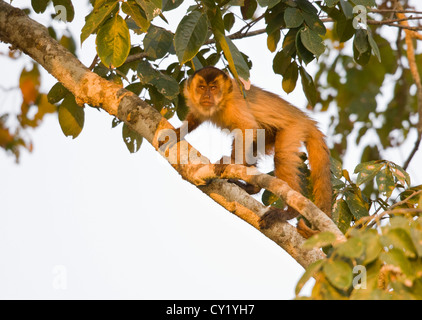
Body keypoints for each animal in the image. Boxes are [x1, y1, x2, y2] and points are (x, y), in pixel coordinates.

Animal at [176, 66, 332, 229]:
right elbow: (196, 117)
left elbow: (247, 127)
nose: (207, 95)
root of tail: (305, 118)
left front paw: (230, 161)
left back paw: (289, 212)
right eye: (201, 87)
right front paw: (178, 132)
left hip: (294, 128)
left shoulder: (234, 104)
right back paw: (252, 188)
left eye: (213, 88)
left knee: (280, 157)